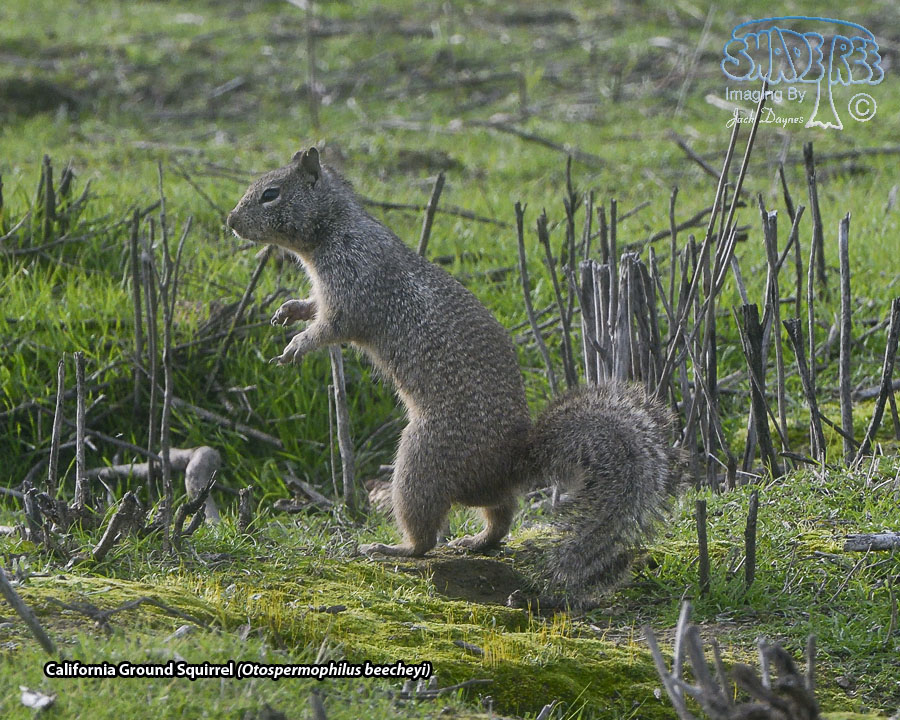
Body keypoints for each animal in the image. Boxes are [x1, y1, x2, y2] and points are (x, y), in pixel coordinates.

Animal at [226, 147, 681, 600]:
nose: (231, 221)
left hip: (422, 462)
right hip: (473, 484)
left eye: (271, 193)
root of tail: (513, 459)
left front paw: (296, 347)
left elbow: (332, 326)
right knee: (501, 514)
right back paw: (477, 541)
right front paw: (288, 311)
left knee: (427, 535)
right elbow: (312, 307)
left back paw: (394, 549)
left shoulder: (355, 283)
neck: (336, 229)